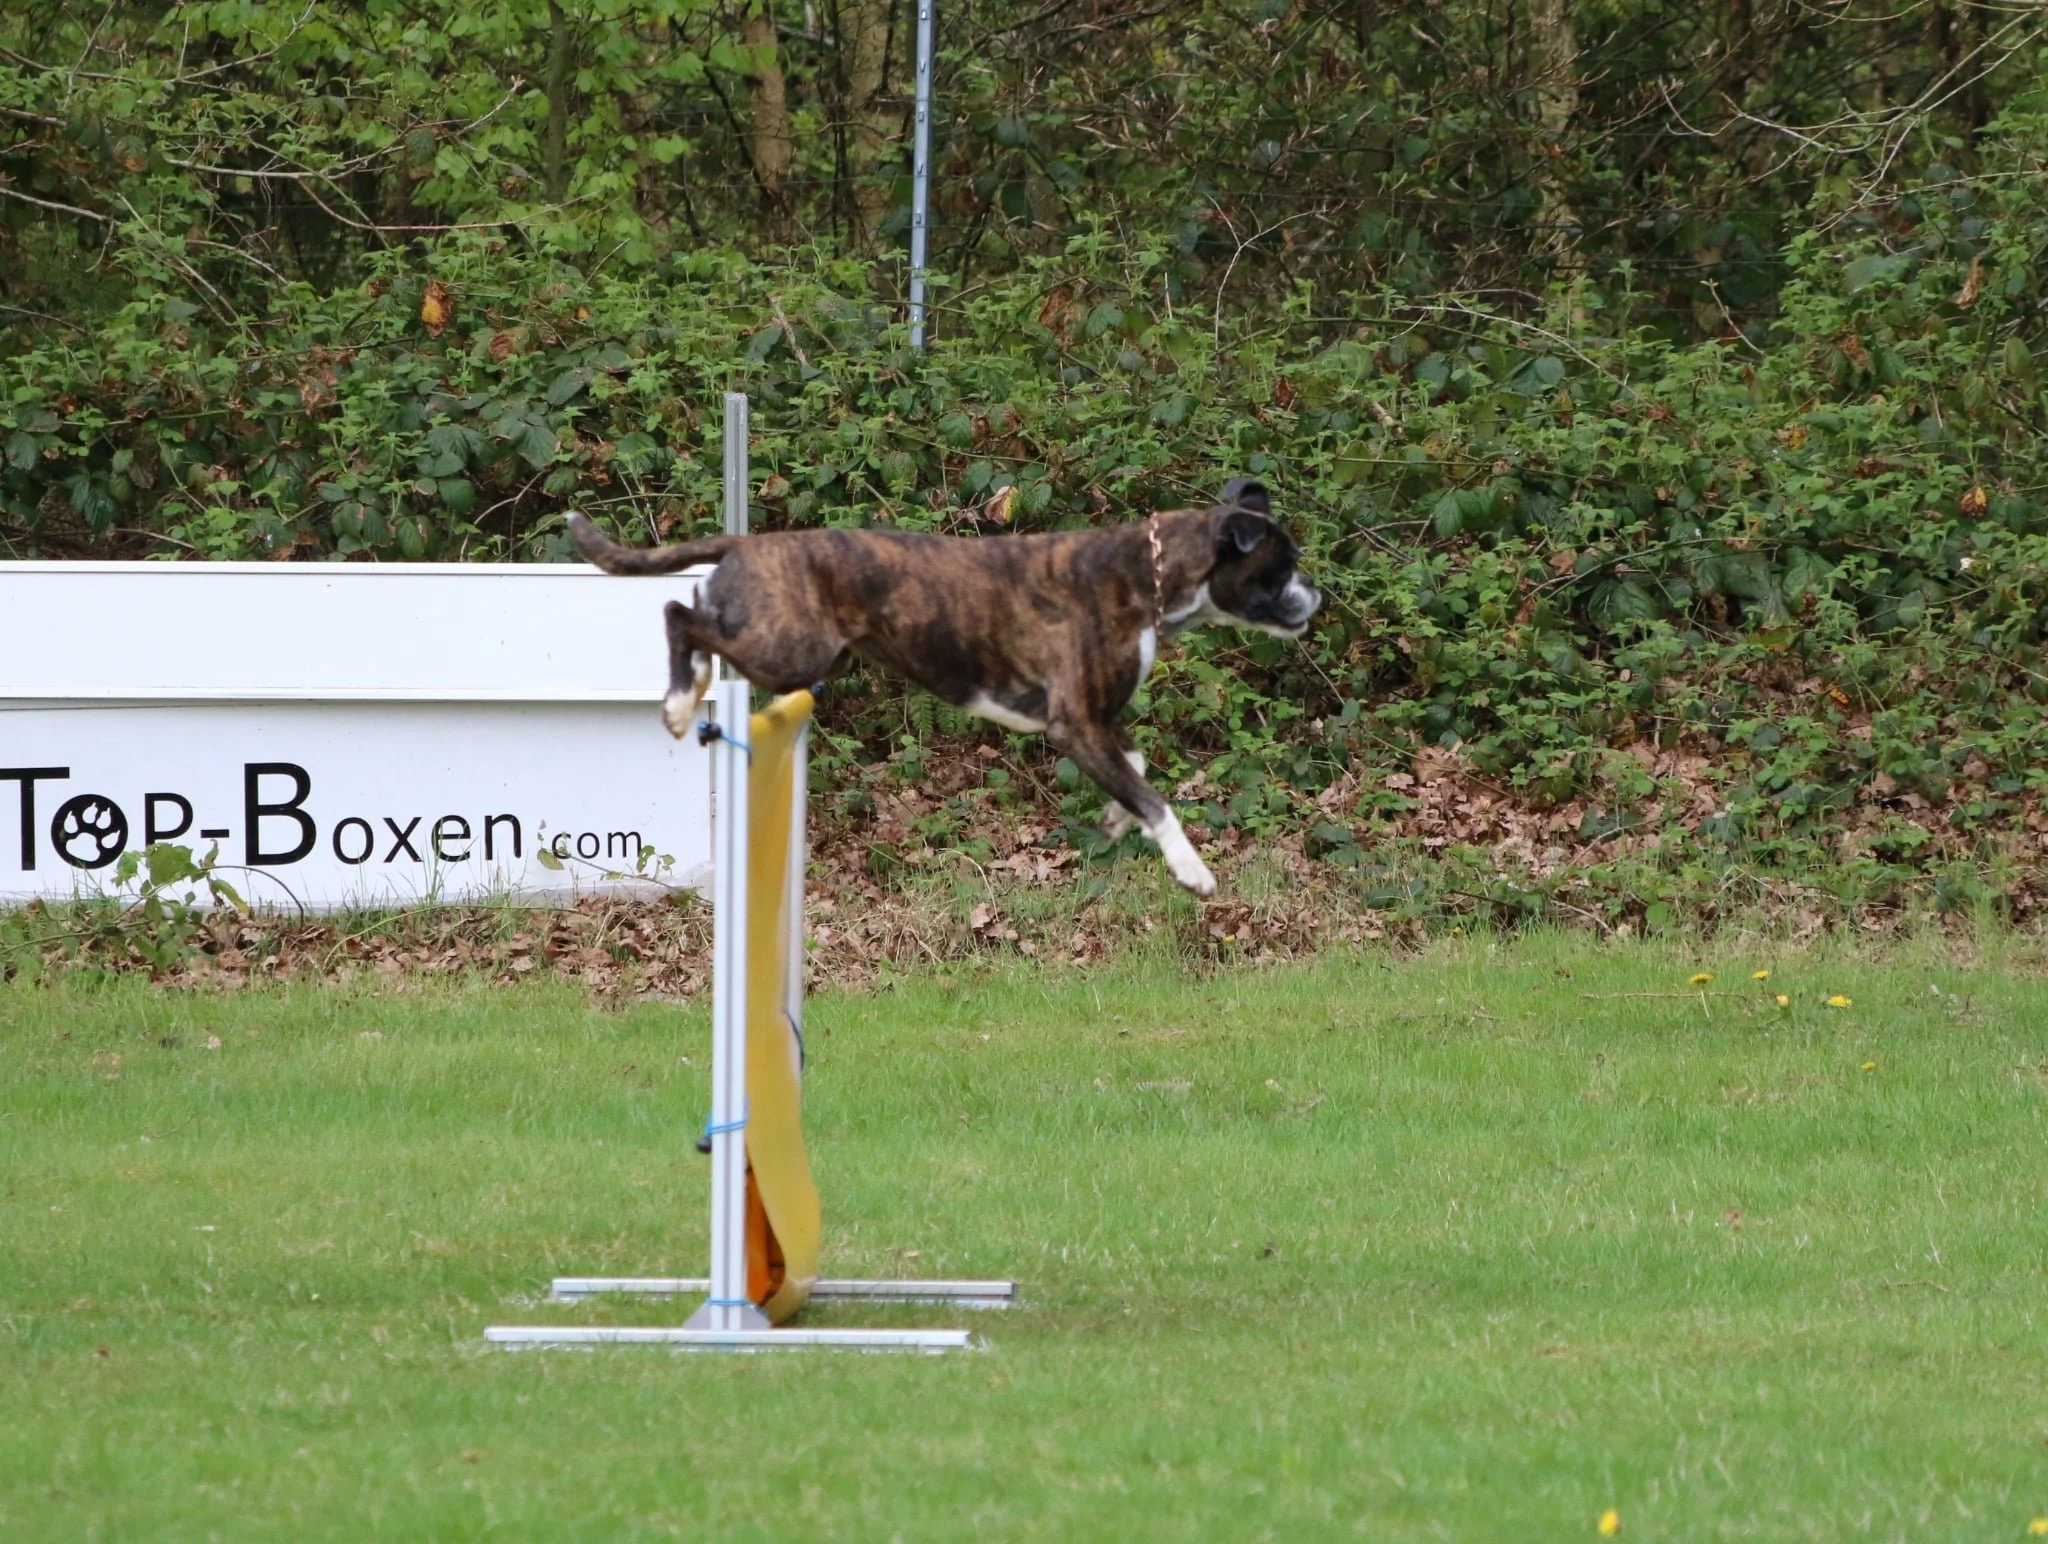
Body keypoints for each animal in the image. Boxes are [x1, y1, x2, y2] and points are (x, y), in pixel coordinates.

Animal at [566, 479, 1318, 896]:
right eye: (1279, 568)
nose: (1315, 593)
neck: (1150, 571)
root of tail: (747, 544)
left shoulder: (1097, 718)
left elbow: (1134, 771)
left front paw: (1114, 817)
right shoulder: (1076, 722)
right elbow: (1158, 801)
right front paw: (1191, 870)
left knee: (692, 615)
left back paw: (688, 690)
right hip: (787, 650)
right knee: (678, 613)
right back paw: (676, 702)